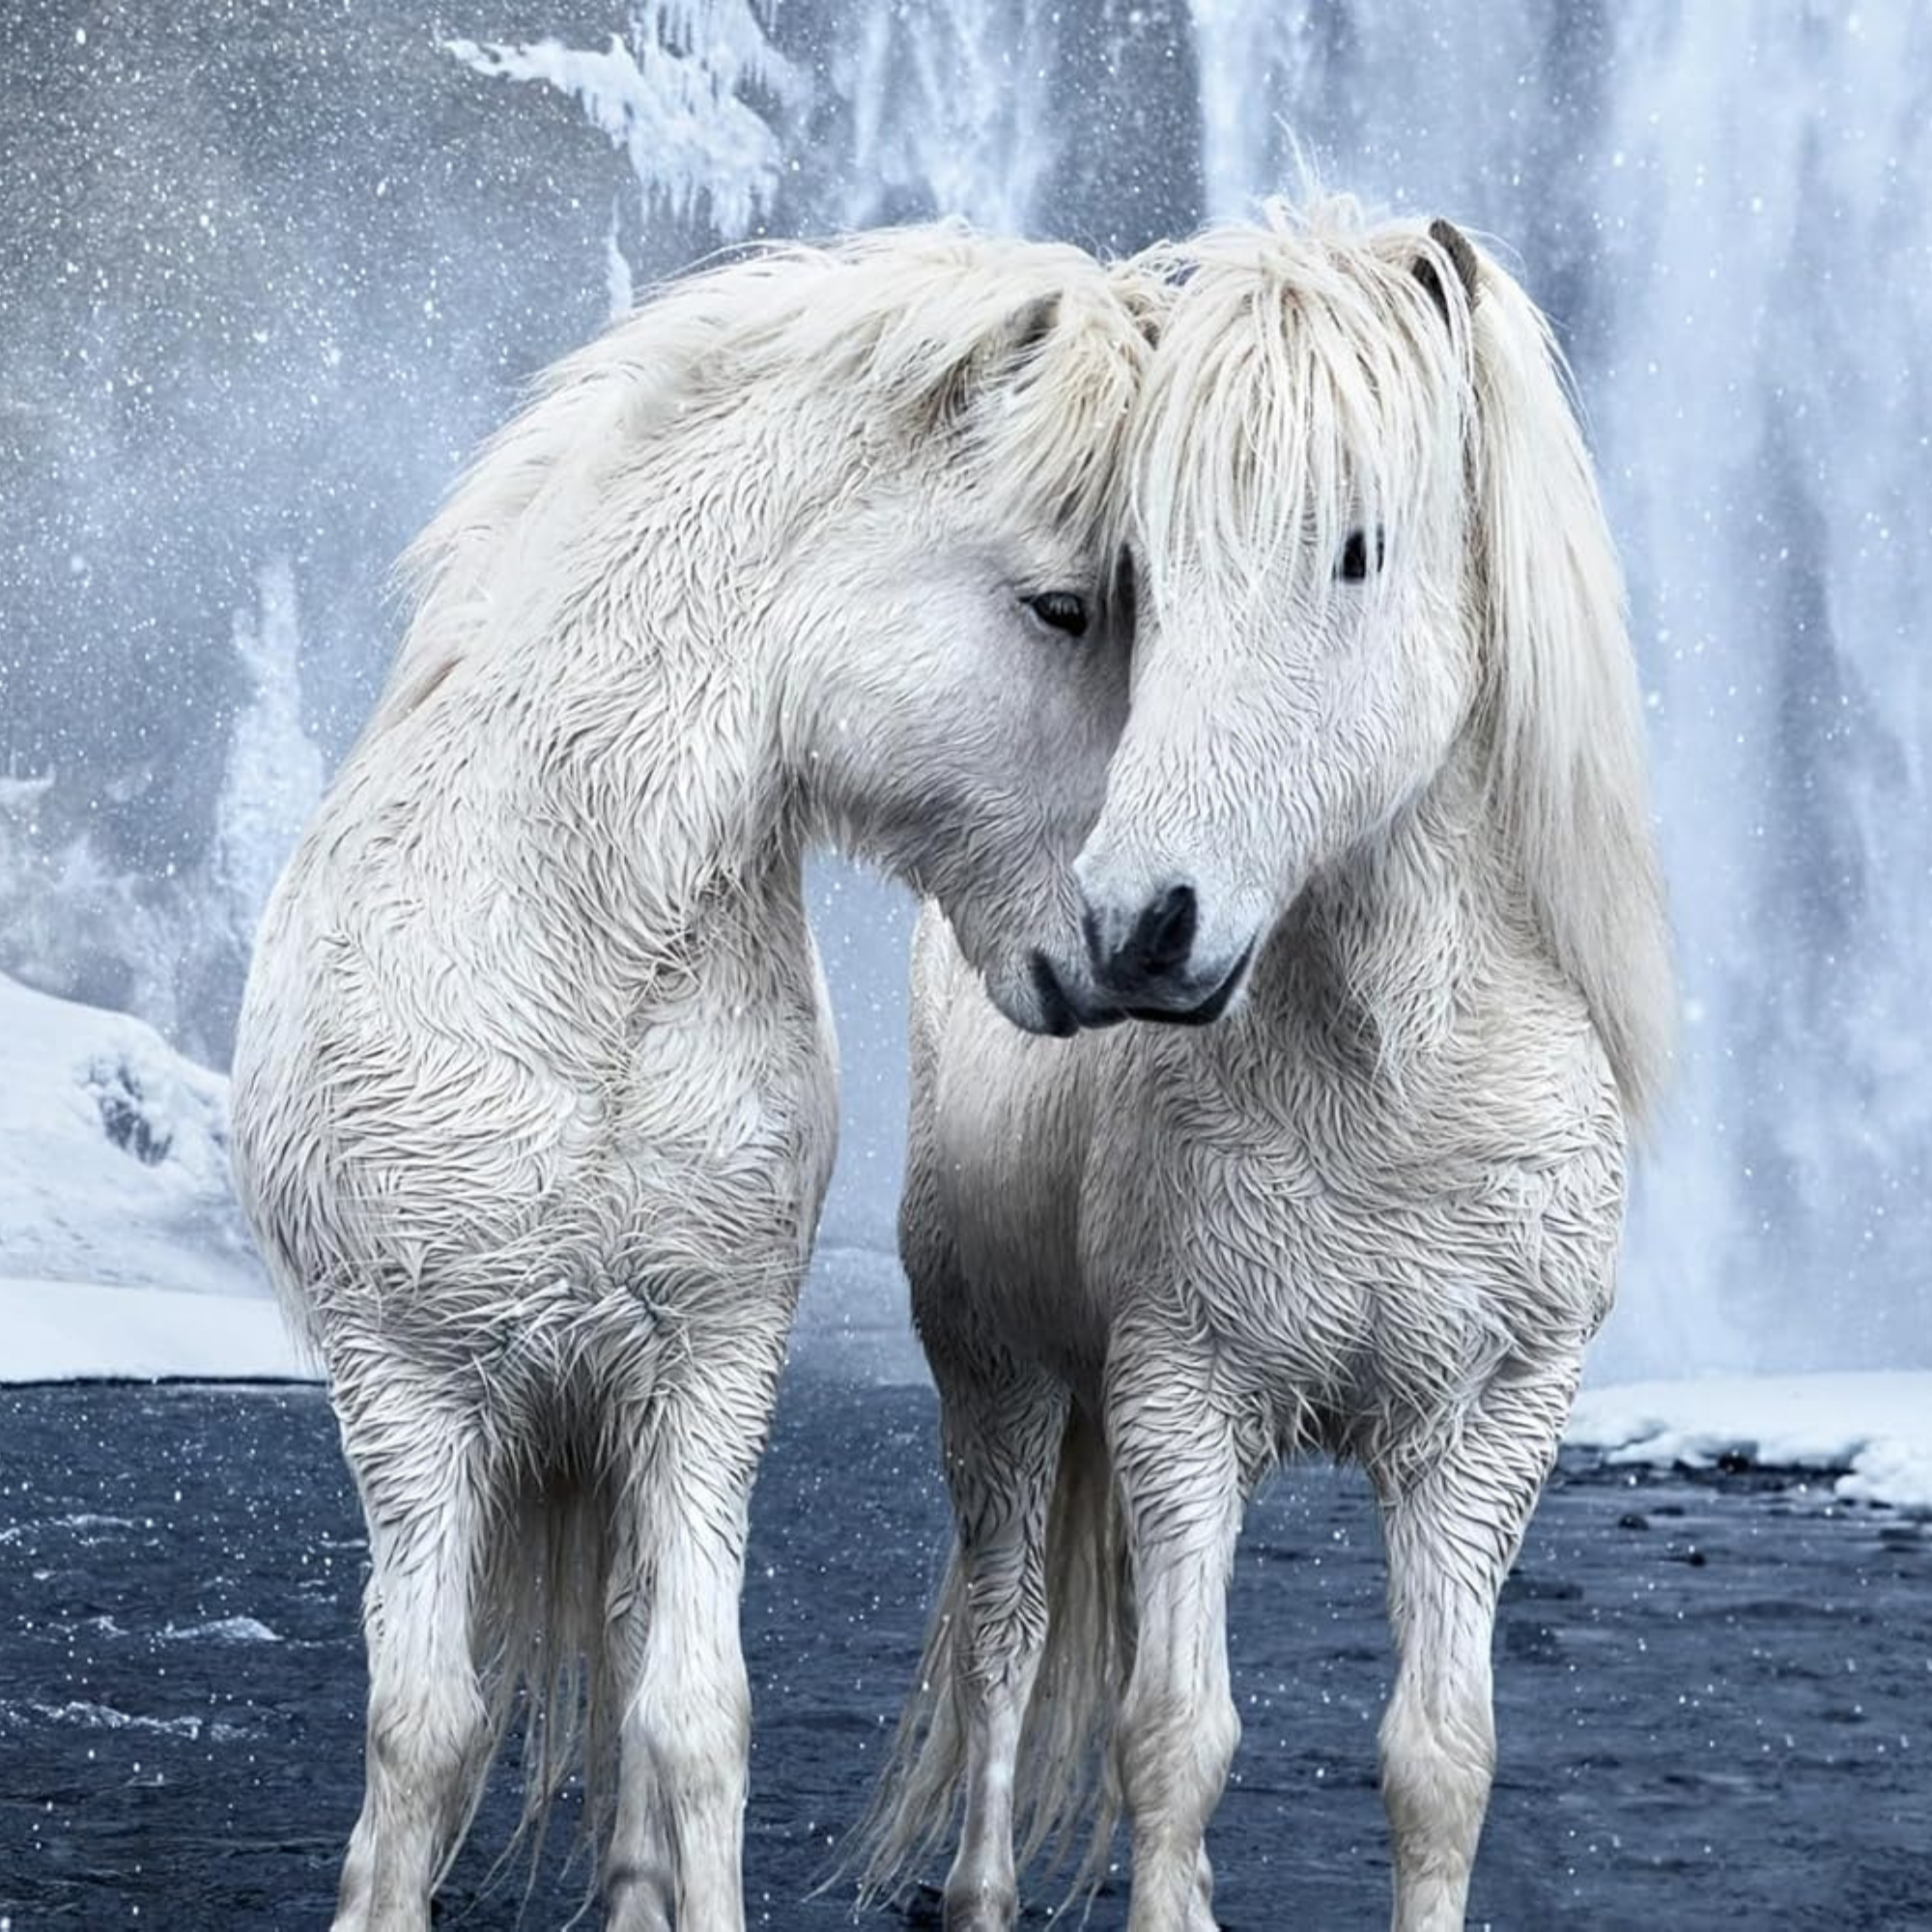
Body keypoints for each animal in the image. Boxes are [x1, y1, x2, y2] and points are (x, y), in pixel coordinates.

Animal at [227, 224, 1156, 1932]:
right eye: (1064, 607)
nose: (1140, 941)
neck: (573, 962)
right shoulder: (408, 1393)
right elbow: (423, 1726)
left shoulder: (708, 1376)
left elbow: (690, 1712)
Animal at [855, 200, 1673, 1932]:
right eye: (1143, 570)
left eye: (1357, 546)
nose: (1137, 924)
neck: (1396, 1086)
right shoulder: (1180, 1400)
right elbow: (1175, 1738)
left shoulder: (1488, 1436)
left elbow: (1439, 1762)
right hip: (999, 1384)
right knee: (1009, 1643)